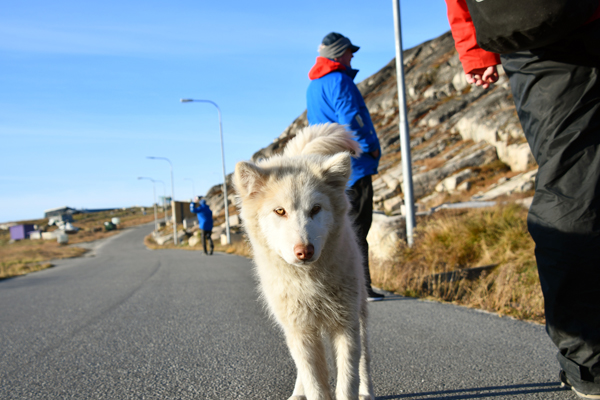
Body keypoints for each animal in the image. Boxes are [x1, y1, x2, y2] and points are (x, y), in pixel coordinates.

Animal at [233, 123, 374, 400]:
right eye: (280, 211)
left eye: (316, 209)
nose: (304, 251)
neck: (310, 282)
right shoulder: (299, 330)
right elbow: (314, 383)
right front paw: (309, 391)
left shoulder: (346, 325)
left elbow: (347, 381)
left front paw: (353, 390)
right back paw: (298, 393)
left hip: (360, 311)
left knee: (364, 358)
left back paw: (367, 391)